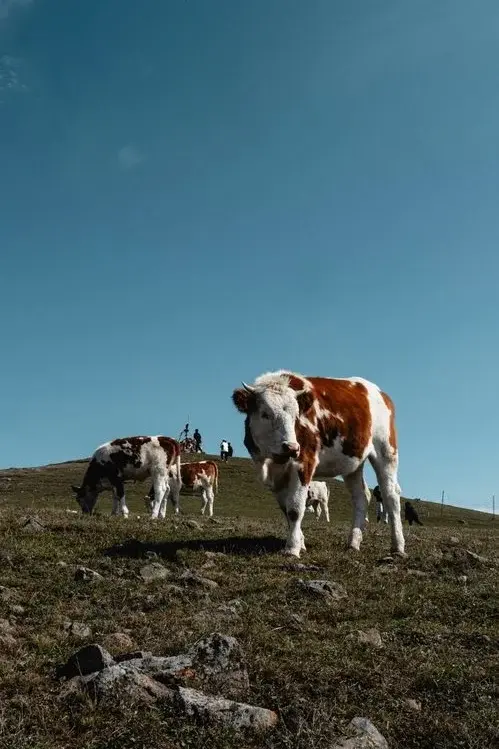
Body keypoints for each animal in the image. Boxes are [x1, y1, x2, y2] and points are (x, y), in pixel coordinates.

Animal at [232, 370, 404, 558]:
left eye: (296, 416)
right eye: (265, 414)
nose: (291, 447)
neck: (270, 461)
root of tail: (379, 392)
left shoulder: (304, 462)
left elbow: (295, 509)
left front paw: (292, 549)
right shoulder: (275, 477)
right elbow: (286, 510)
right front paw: (301, 543)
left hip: (386, 451)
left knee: (391, 495)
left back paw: (398, 547)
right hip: (353, 463)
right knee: (361, 497)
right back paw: (353, 543)